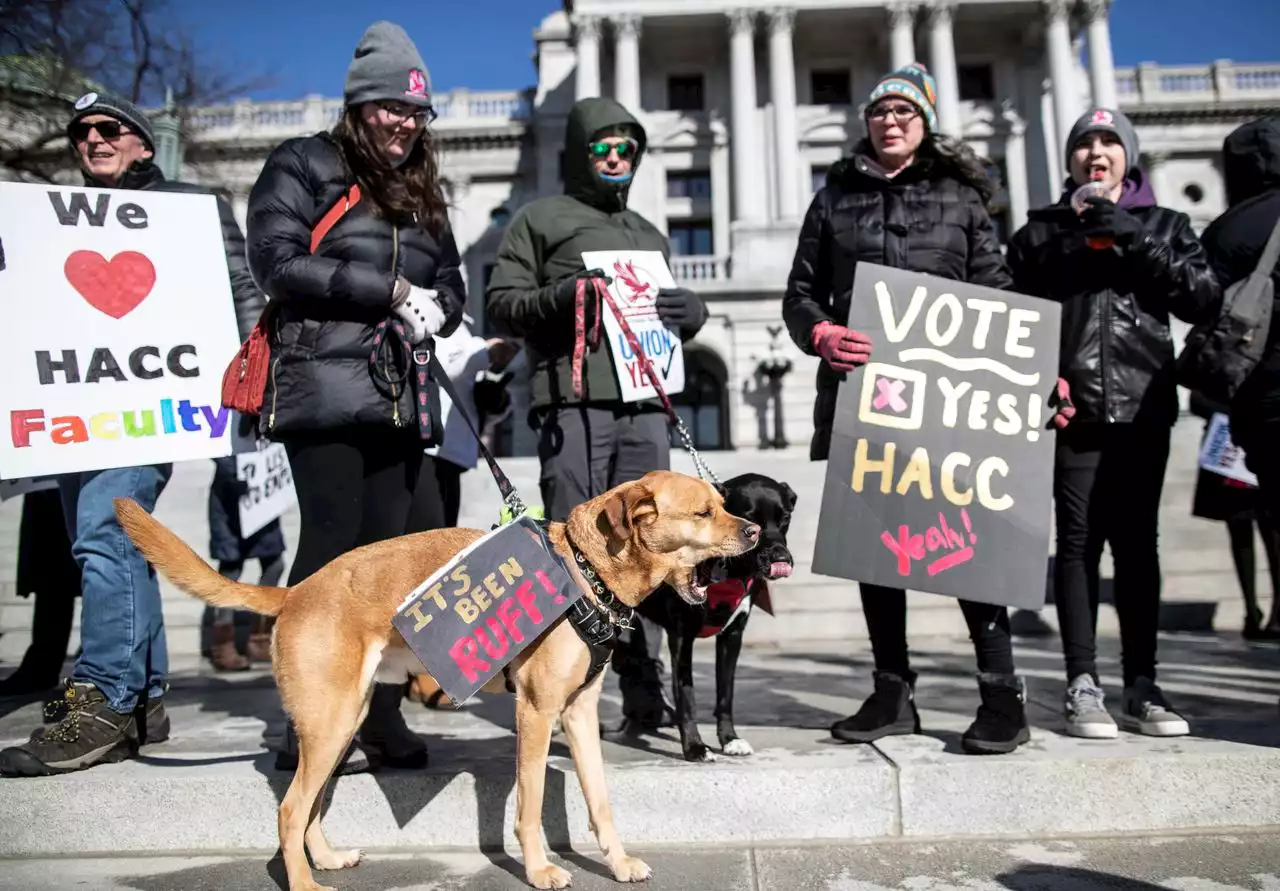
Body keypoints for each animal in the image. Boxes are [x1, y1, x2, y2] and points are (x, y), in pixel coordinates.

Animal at [112, 471, 757, 885]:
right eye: (704, 513)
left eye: (724, 503)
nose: (752, 531)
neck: (586, 570)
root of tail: (294, 591)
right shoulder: (535, 713)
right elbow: (529, 807)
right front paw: (540, 870)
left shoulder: (577, 715)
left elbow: (600, 802)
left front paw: (618, 864)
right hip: (330, 724)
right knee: (290, 810)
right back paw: (305, 883)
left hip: (340, 725)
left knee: (309, 806)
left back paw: (325, 860)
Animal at [634, 471, 793, 762]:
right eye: (751, 521)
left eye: (785, 518)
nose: (781, 558)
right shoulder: (681, 638)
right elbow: (687, 697)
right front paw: (695, 747)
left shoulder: (732, 636)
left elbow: (725, 693)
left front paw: (730, 739)